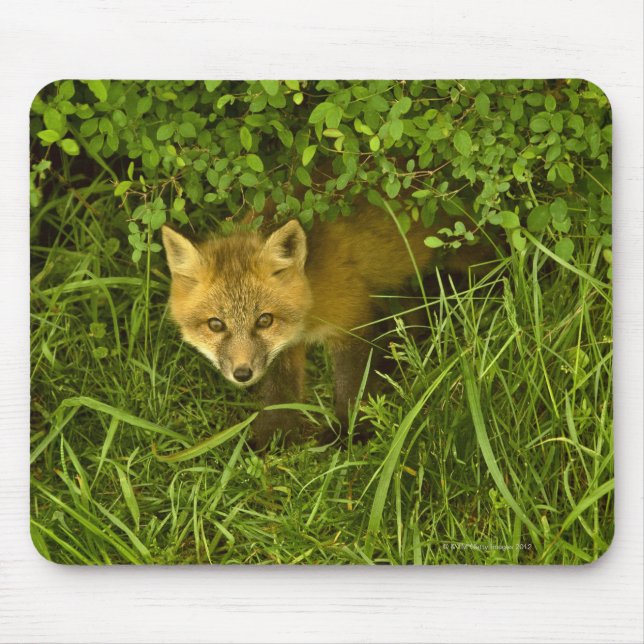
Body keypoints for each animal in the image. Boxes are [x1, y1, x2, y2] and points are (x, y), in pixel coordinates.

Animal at [161, 197, 489, 449]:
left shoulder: (352, 319)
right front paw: (273, 439)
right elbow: (280, 392)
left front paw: (349, 435)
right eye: (216, 325)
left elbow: (351, 386)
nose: (243, 373)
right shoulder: (286, 347)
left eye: (264, 320)